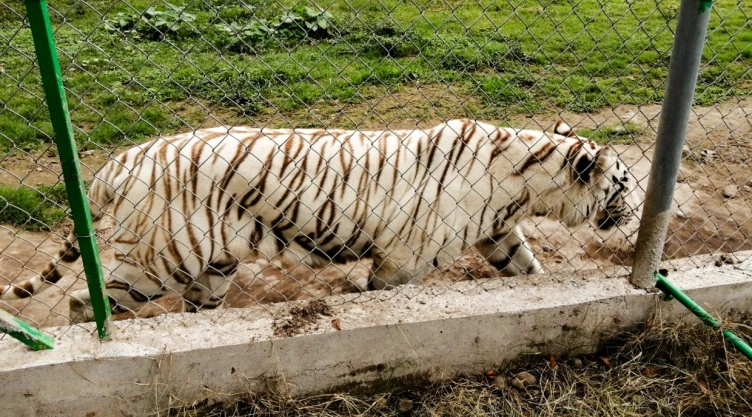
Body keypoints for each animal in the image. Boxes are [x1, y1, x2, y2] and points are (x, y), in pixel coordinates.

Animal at [0, 119, 637, 323]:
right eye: (626, 183)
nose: (636, 211)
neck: (526, 183)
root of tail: (121, 159)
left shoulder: (498, 232)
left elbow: (527, 271)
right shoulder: (404, 259)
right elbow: (382, 294)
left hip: (213, 265)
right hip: (160, 259)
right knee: (84, 302)